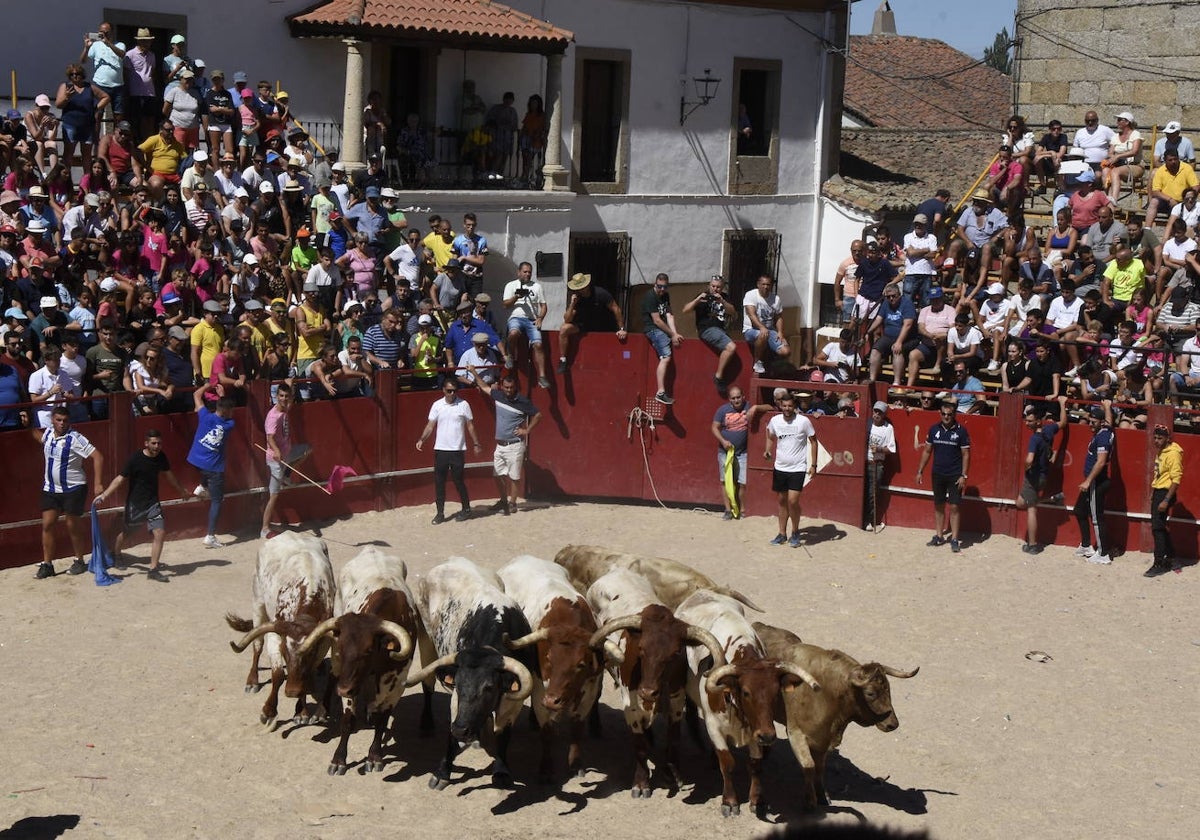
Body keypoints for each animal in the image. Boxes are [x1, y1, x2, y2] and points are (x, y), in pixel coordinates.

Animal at [753, 619, 912, 811]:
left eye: (889, 688)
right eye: (870, 693)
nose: (893, 724)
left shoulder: (823, 739)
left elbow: (820, 768)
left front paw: (823, 796)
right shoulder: (796, 733)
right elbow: (809, 765)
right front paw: (810, 802)